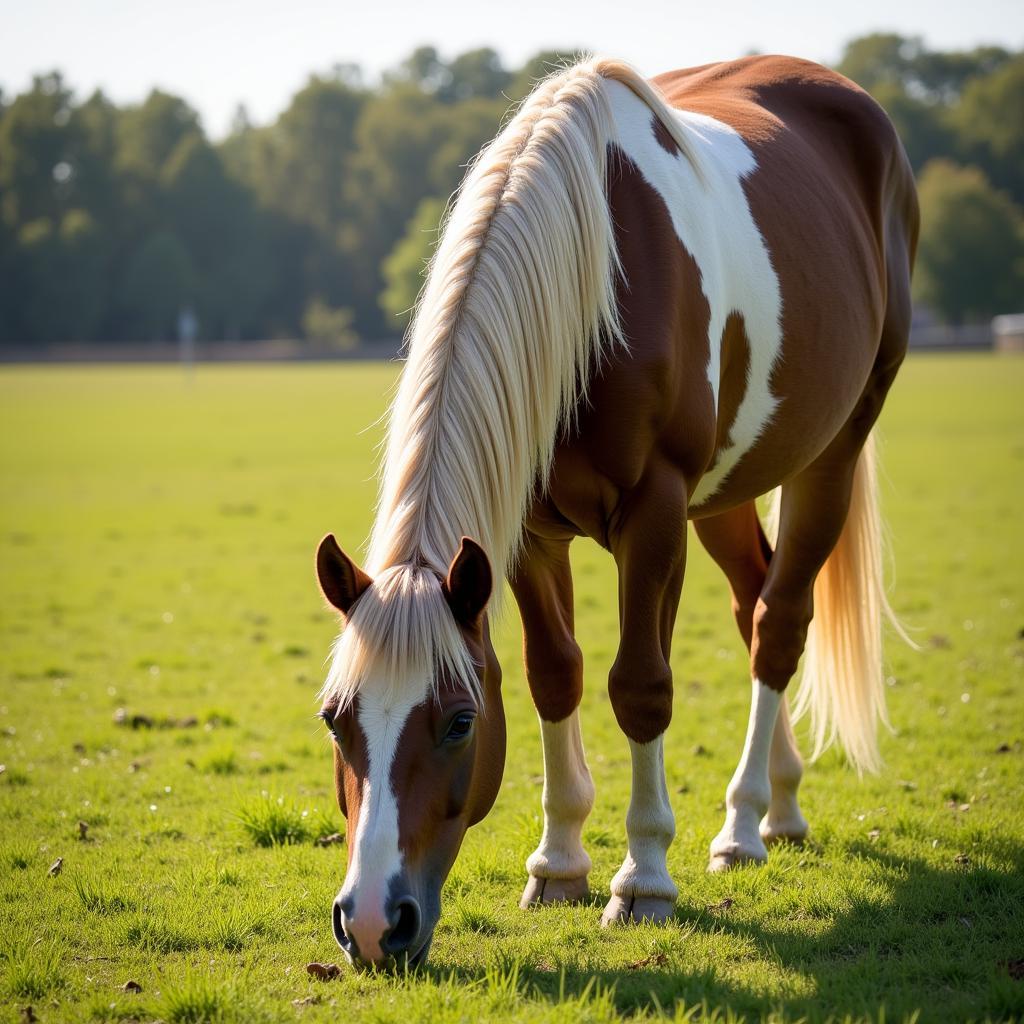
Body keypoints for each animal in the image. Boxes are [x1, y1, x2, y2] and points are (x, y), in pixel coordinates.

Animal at [313, 54, 921, 966]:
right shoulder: (526, 534)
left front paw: (644, 879)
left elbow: (640, 686)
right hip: (726, 492)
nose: (377, 926)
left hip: (833, 452)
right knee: (752, 604)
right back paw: (774, 809)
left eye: (458, 722)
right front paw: (560, 864)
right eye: (334, 720)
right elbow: (554, 673)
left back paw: (742, 826)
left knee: (779, 623)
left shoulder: (654, 511)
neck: (595, 285)